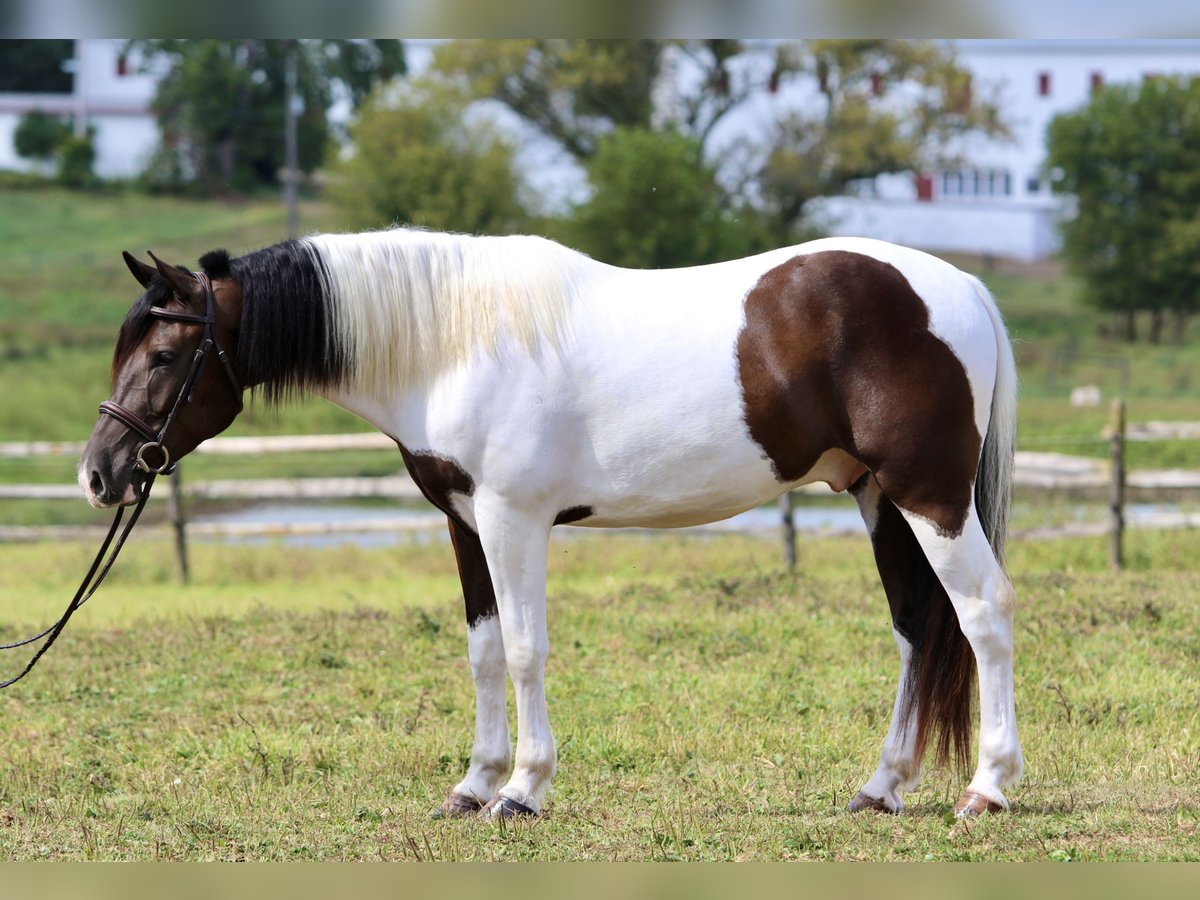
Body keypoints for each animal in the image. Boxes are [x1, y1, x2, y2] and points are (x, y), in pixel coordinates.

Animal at [78, 229, 1023, 819]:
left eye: (165, 356)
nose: (99, 473)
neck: (451, 344)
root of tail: (965, 288)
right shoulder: (465, 523)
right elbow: (485, 650)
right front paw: (471, 785)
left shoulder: (513, 519)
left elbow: (527, 650)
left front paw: (522, 791)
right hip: (877, 498)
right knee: (916, 629)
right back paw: (881, 788)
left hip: (929, 495)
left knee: (984, 615)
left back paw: (988, 789)